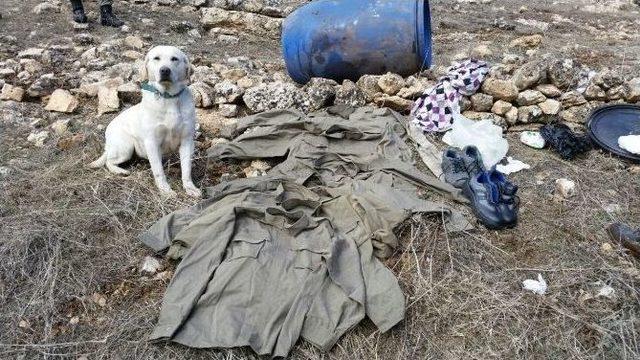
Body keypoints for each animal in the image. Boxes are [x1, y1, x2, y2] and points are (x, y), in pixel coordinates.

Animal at [89, 46, 201, 198]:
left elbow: (186, 169)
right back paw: (120, 171)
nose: (165, 70)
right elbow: (158, 171)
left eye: (174, 59)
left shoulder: (187, 141)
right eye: (156, 58)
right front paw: (165, 190)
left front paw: (190, 188)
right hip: (126, 147)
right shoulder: (152, 142)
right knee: (108, 161)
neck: (168, 98)